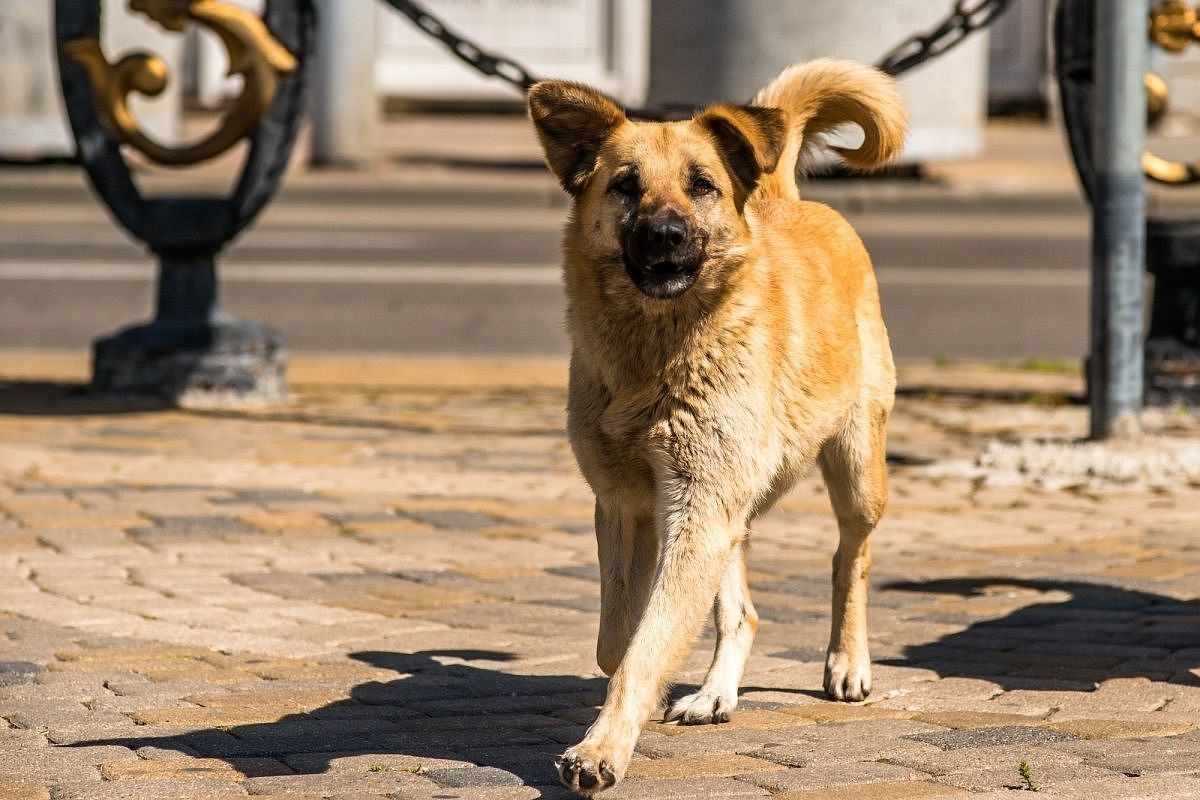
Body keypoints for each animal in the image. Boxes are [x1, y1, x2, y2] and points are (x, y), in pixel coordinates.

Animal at [530, 57, 902, 796]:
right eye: (625, 186)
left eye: (702, 185)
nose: (667, 235)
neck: (656, 356)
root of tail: (783, 194)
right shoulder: (628, 502)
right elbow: (619, 638)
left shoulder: (698, 508)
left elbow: (643, 646)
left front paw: (602, 748)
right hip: (730, 501)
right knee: (743, 609)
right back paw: (715, 693)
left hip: (853, 472)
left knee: (851, 558)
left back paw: (847, 661)